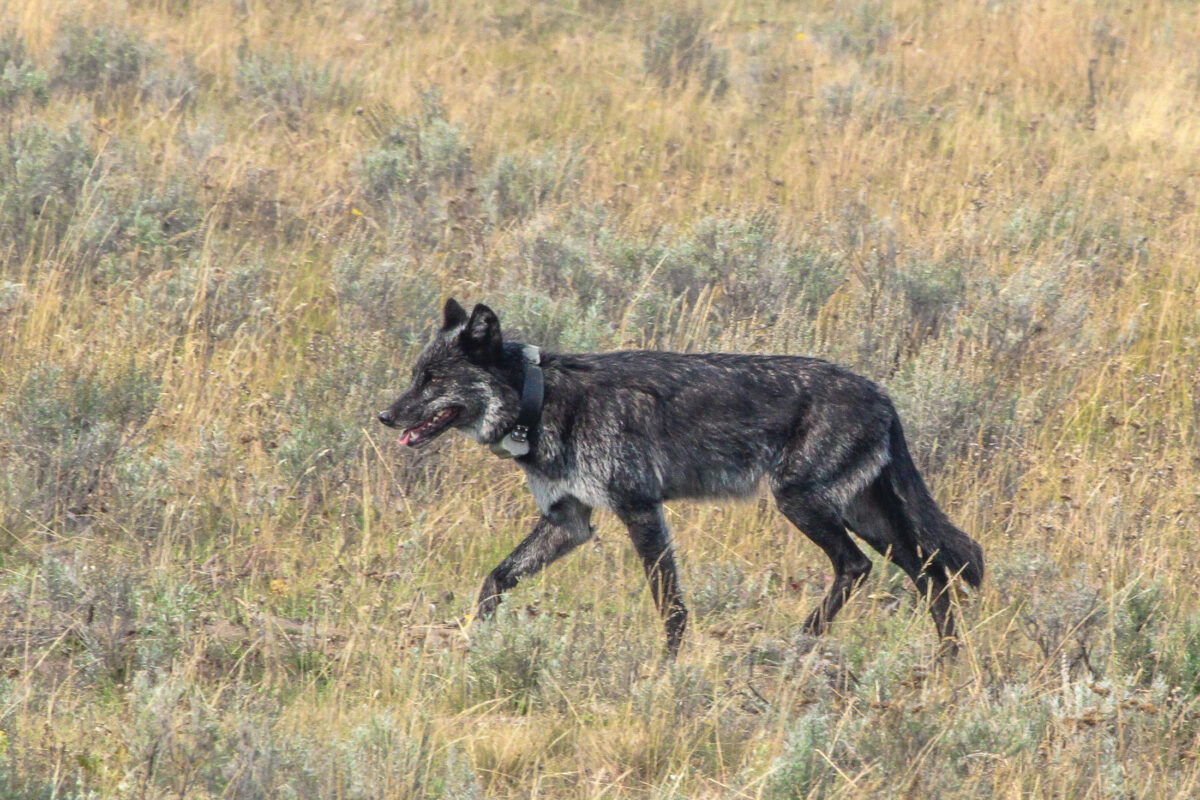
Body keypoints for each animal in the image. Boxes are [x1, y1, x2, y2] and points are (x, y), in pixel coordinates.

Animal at [378, 299, 984, 657]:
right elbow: (495, 580)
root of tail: (882, 396)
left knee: (859, 568)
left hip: (802, 503)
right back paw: (949, 664)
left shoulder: (640, 510)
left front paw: (666, 670)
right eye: (415, 376)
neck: (544, 399)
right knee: (932, 574)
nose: (384, 416)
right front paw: (474, 641)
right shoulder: (569, 522)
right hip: (864, 517)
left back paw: (802, 642)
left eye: (433, 381)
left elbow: (669, 605)